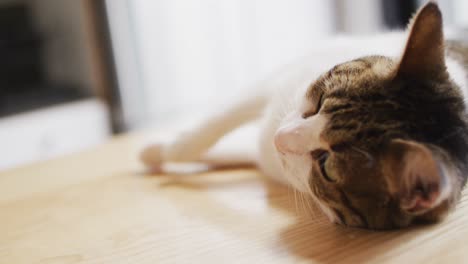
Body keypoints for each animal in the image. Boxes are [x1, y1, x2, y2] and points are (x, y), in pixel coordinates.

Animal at [139, 1, 468, 229]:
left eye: (327, 167)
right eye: (320, 101)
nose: (279, 138)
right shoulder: (281, 79)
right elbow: (211, 126)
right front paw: (158, 150)